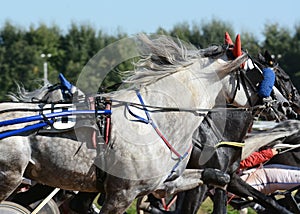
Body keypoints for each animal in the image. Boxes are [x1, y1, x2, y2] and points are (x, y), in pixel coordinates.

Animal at [0, 34, 248, 214]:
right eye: (251, 72)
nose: (260, 104)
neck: (153, 119)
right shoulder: (121, 194)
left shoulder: (162, 184)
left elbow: (216, 177)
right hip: (10, 176)